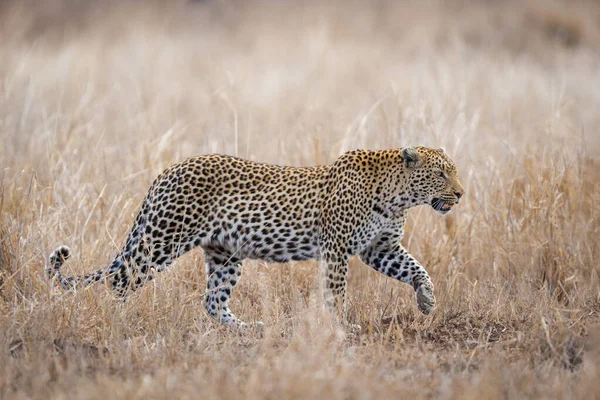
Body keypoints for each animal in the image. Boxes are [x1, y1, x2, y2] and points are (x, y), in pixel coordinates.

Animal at [48, 145, 464, 330]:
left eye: (453, 172)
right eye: (441, 174)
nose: (461, 193)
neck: (398, 197)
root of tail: (166, 172)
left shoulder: (381, 248)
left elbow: (416, 268)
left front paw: (427, 300)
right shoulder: (337, 250)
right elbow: (337, 293)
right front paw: (341, 327)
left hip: (226, 255)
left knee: (212, 300)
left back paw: (248, 330)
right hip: (162, 240)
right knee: (119, 280)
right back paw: (114, 319)